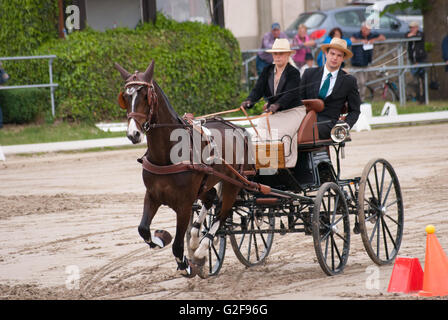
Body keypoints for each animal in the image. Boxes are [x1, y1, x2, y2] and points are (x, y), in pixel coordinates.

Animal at [115, 60, 254, 278]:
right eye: (126, 97)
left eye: (145, 95)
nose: (133, 134)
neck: (166, 156)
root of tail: (238, 128)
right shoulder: (152, 195)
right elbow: (143, 229)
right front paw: (161, 237)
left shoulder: (184, 204)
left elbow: (178, 246)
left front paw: (187, 264)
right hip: (207, 182)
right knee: (211, 199)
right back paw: (197, 237)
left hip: (234, 182)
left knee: (223, 213)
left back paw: (202, 248)